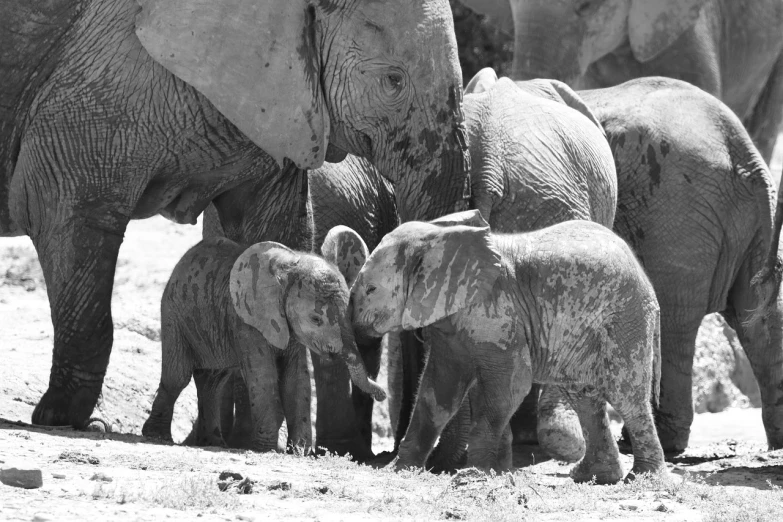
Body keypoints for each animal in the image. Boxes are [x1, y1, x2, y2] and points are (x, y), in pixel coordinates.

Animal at [142, 228, 388, 450]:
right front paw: (266, 448)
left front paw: (299, 452)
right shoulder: (246, 321)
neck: (289, 266)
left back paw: (213, 443)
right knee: (178, 376)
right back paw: (157, 436)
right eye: (316, 319)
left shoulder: (289, 329)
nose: (383, 394)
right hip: (174, 314)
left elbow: (296, 378)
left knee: (214, 382)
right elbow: (263, 376)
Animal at [352, 209, 664, 482]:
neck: (437, 236)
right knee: (584, 396)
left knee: (626, 395)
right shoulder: (451, 325)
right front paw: (399, 470)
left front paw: (476, 474)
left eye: (371, 289)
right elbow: (438, 391)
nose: (379, 392)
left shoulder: (500, 311)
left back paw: (643, 478)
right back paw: (593, 477)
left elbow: (511, 385)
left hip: (627, 319)